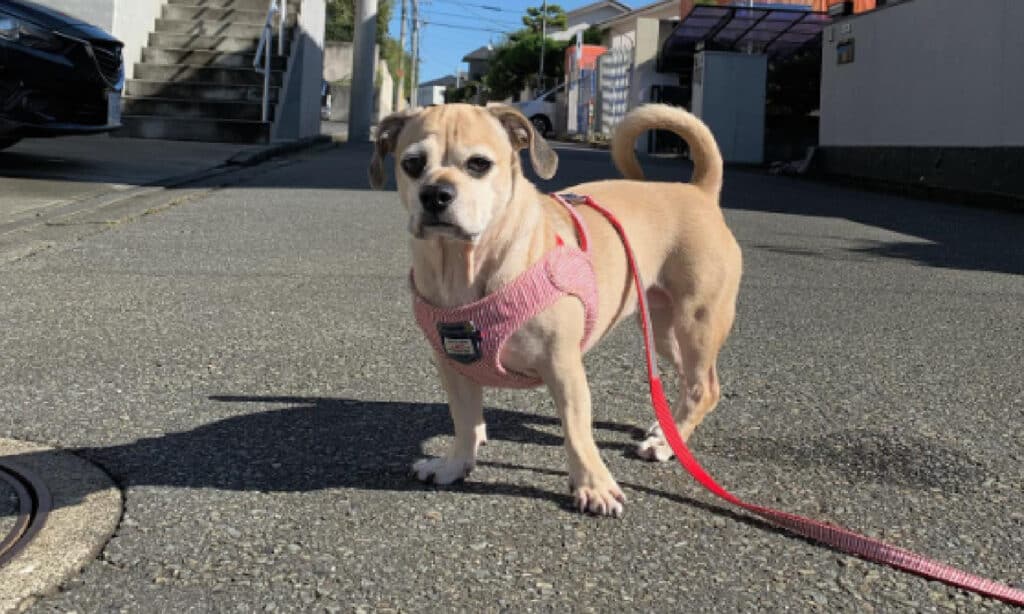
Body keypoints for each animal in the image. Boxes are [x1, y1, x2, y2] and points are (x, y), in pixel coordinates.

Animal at [372, 103, 741, 515]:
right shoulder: (453, 364)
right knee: (689, 380)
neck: (462, 268)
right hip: (664, 330)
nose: (435, 194)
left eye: (479, 164)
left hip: (697, 321)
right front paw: (454, 465)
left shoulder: (563, 365)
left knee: (704, 387)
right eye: (412, 164)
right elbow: (465, 421)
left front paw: (594, 486)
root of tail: (698, 190)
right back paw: (666, 430)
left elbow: (577, 431)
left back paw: (664, 444)